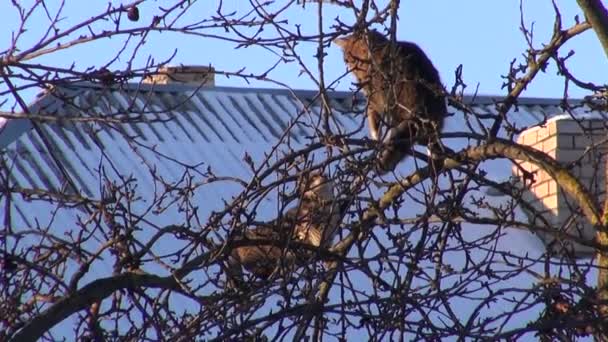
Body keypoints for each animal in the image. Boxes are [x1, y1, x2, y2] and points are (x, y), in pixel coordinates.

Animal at [332, 29, 446, 174]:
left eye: (353, 60)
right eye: (347, 61)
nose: (351, 69)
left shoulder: (375, 98)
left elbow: (373, 117)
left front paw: (376, 135)